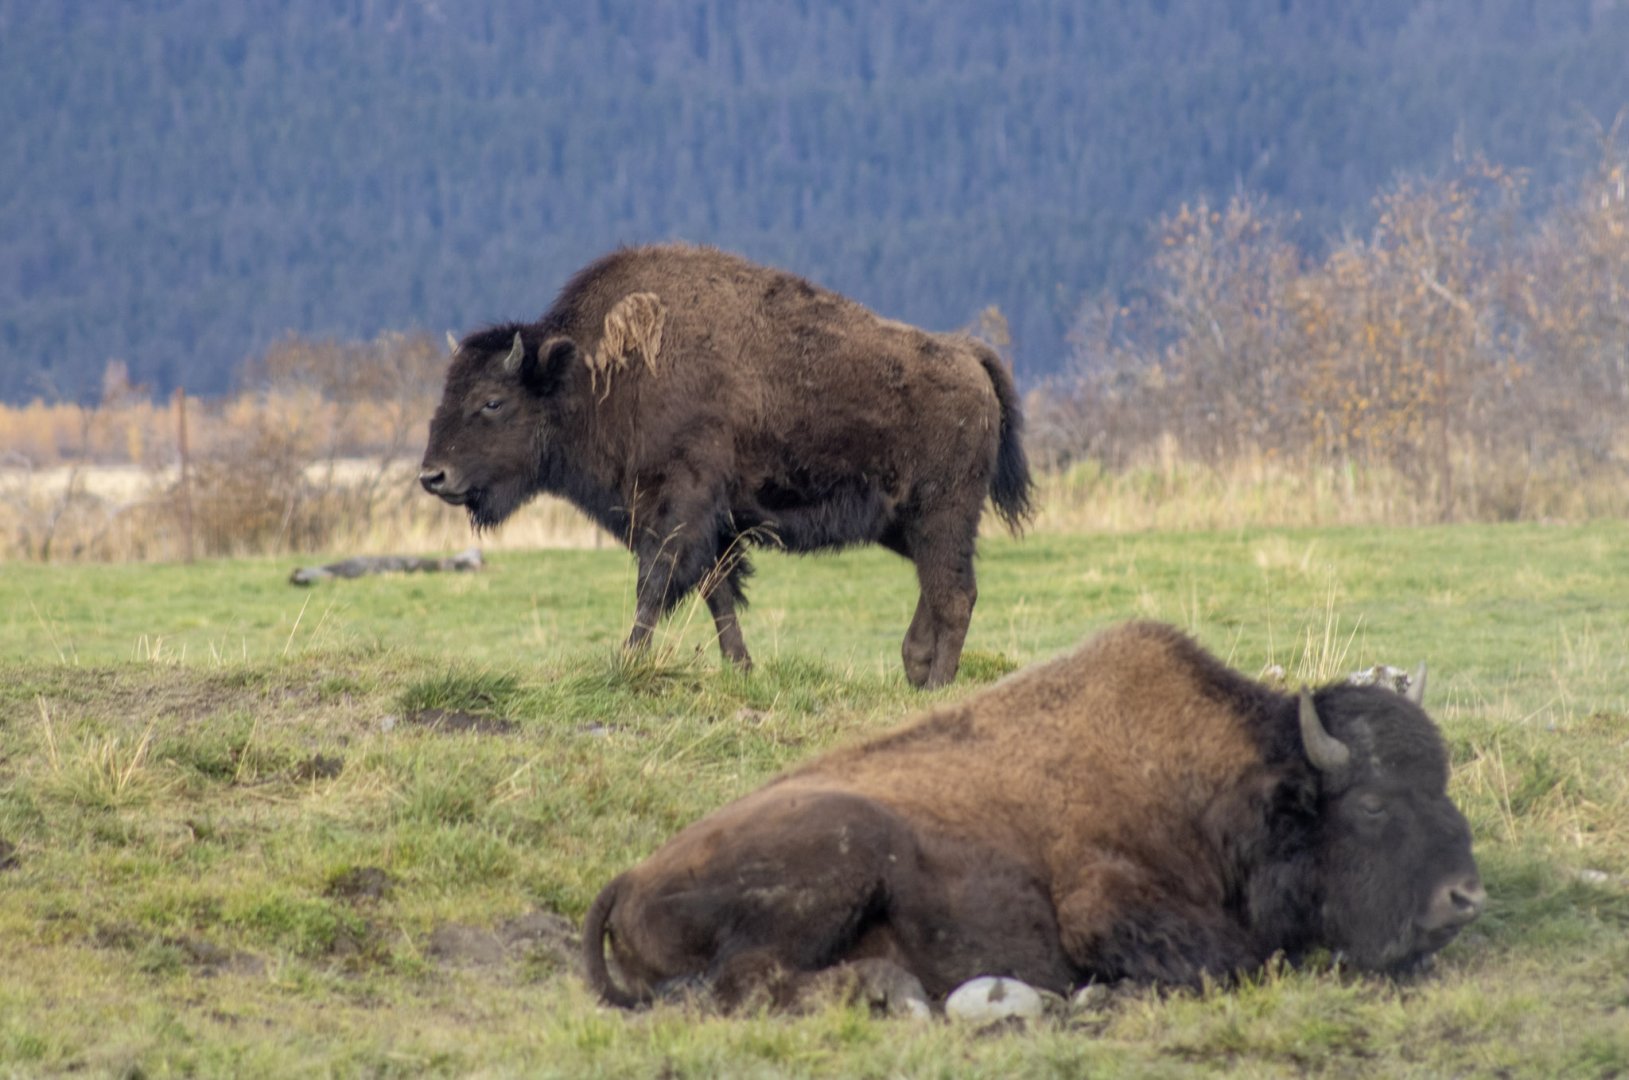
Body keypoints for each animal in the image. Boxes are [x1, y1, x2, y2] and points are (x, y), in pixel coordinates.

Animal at [419, 244, 1033, 687]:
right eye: (448, 392)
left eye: (493, 402)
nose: (433, 476)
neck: (595, 373)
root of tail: (967, 355)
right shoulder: (709, 526)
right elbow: (717, 594)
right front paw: (742, 669)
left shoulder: (679, 510)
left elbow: (655, 585)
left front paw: (629, 661)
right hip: (907, 526)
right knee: (942, 587)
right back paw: (916, 669)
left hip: (942, 514)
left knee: (954, 595)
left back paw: (937, 685)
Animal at [583, 621, 1484, 1010]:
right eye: (1371, 802)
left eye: (1443, 784)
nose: (1464, 898)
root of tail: (628, 877)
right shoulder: (1101, 906)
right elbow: (1240, 960)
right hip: (843, 850)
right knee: (748, 980)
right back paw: (891, 990)